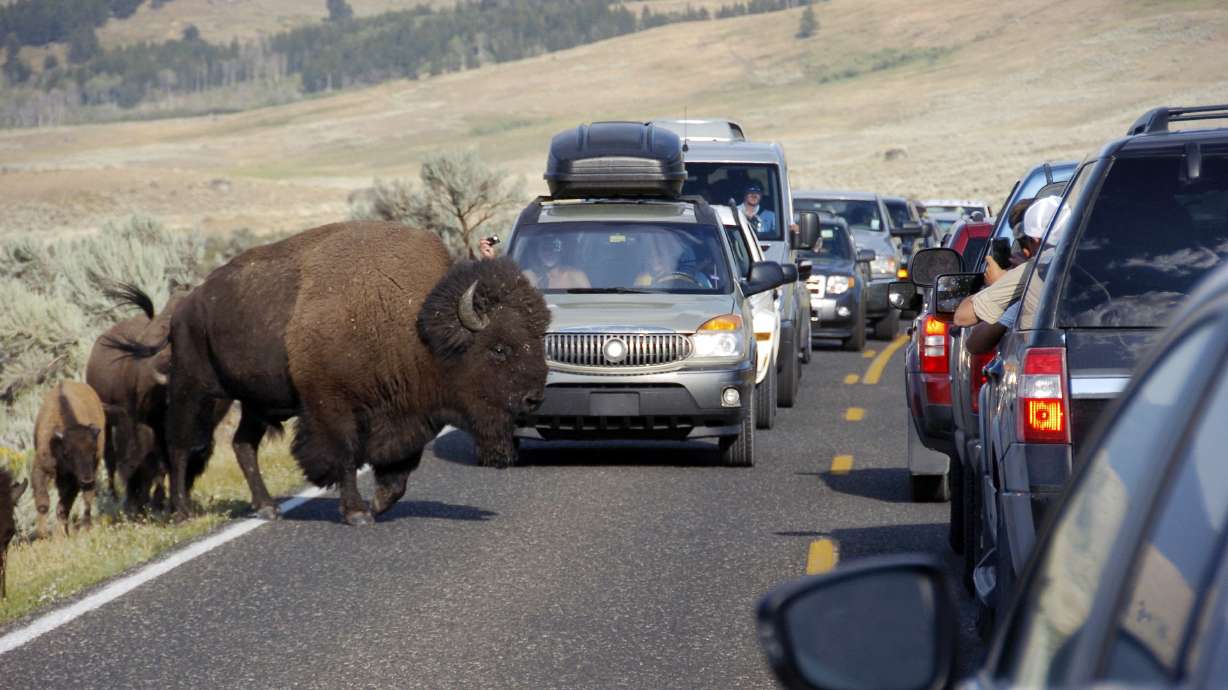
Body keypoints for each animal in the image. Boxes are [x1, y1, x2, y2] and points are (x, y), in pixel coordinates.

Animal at [32, 381, 106, 537]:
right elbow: (43, 503)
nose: (87, 479)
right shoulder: (40, 469)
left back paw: (85, 528)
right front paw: (43, 534)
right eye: (68, 453)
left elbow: (63, 506)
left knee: (87, 500)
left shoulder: (73, 481)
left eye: (94, 451)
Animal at [111, 221, 550, 525]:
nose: (534, 397)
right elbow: (346, 455)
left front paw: (376, 505)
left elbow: (398, 471)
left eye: (538, 338)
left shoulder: (406, 416)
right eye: (499, 348)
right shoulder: (332, 407)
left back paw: (267, 508)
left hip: (256, 403)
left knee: (242, 445)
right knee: (180, 445)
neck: (415, 326)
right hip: (196, 389)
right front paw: (356, 512)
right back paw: (181, 512)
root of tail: (184, 306)